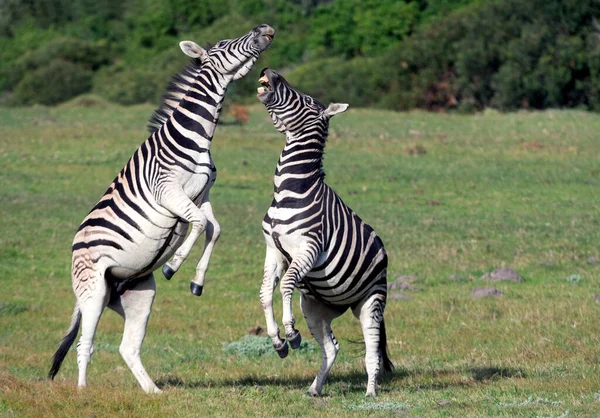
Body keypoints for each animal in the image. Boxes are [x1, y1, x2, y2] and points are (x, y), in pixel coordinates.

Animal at [48, 24, 274, 394]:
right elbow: (198, 224)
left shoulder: (202, 194)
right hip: (92, 291)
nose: (265, 29)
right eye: (224, 44)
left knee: (127, 346)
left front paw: (197, 280)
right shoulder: (168, 191)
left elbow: (214, 229)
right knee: (85, 342)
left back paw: (152, 392)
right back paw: (82, 393)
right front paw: (174, 265)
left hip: (137, 294)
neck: (196, 136)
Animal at [254, 69, 392, 398]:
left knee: (371, 351)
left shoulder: (308, 248)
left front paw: (290, 332)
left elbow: (286, 284)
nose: (268, 72)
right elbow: (265, 293)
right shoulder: (274, 250)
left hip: (370, 302)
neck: (289, 189)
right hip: (315, 307)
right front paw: (278, 340)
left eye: (304, 99)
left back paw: (370, 393)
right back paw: (314, 389)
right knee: (331, 348)